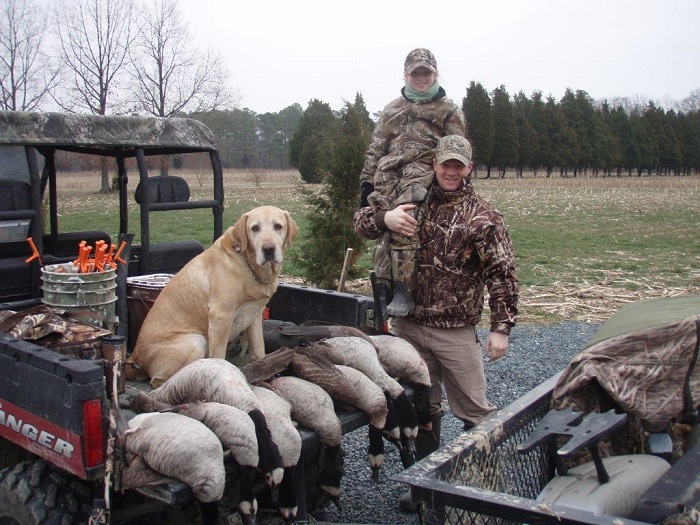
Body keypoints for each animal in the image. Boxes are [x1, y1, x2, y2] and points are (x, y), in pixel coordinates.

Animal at [125, 207, 298, 386]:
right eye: (255, 228)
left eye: (278, 226)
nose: (268, 249)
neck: (248, 265)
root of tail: (135, 357)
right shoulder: (220, 317)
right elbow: (219, 356)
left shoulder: (255, 315)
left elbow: (259, 350)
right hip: (196, 342)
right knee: (160, 381)